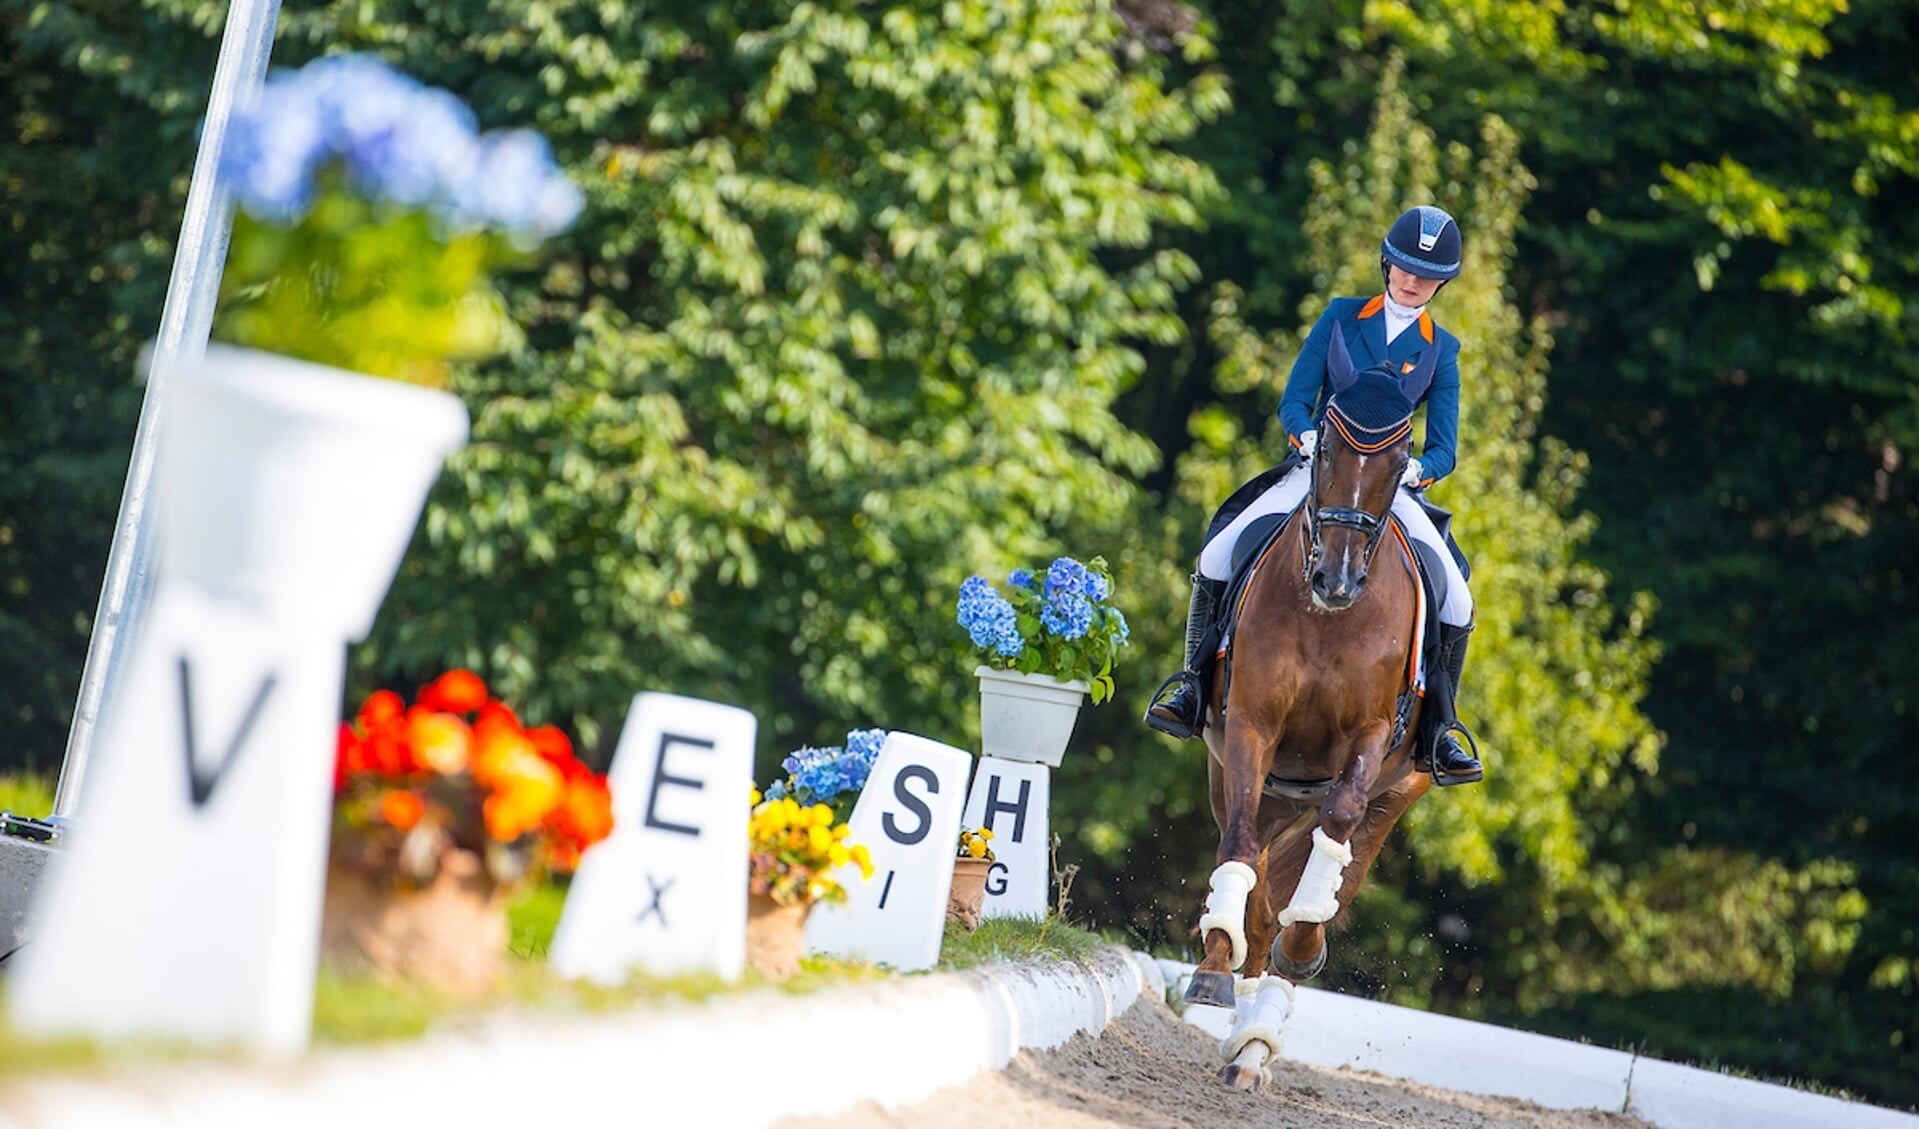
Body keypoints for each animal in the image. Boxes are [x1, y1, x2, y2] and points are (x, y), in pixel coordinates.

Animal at [1182, 355, 1443, 1090]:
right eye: (1324, 448)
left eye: (1402, 460)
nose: (1337, 579)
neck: (1329, 619)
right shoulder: (1250, 728)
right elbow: (1240, 850)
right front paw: (1213, 968)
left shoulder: (1369, 739)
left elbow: (1334, 834)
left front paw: (1301, 949)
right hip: (1251, 779)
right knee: (1255, 876)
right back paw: (1239, 1017)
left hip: (1398, 791)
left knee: (1330, 875)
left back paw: (1260, 1033)